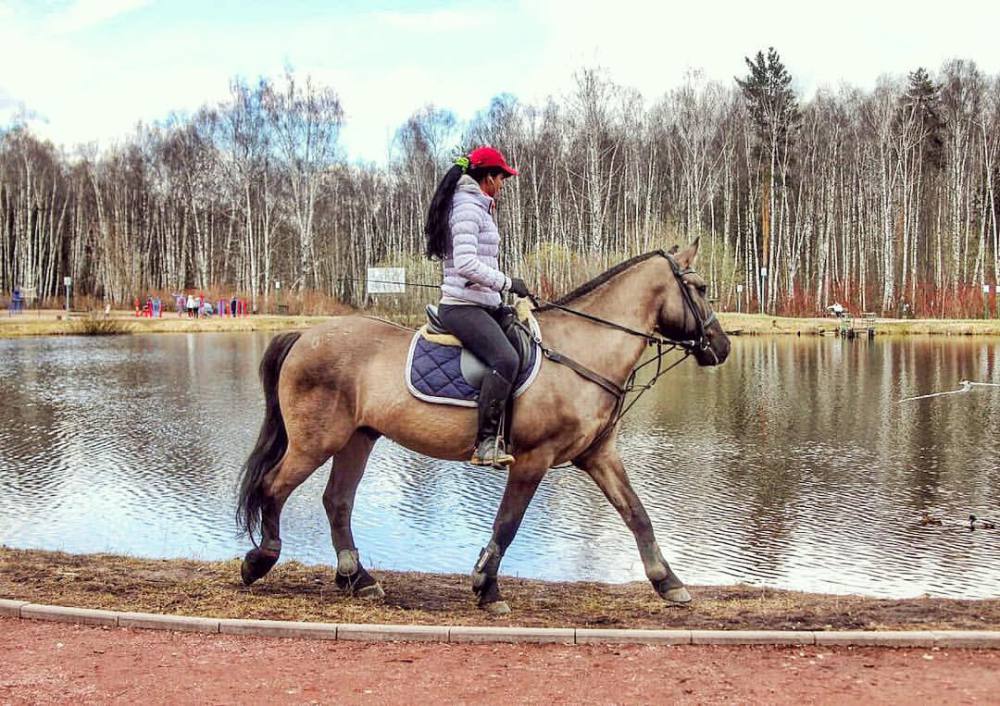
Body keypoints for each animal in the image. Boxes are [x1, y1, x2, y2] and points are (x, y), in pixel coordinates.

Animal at [238, 238, 732, 612]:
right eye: (702, 287)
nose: (722, 346)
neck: (581, 352)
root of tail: (305, 334)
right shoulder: (533, 458)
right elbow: (507, 524)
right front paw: (486, 587)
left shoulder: (597, 454)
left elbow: (637, 515)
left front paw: (668, 582)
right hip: (315, 441)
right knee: (273, 486)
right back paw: (260, 560)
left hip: (358, 439)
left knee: (336, 501)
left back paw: (358, 578)